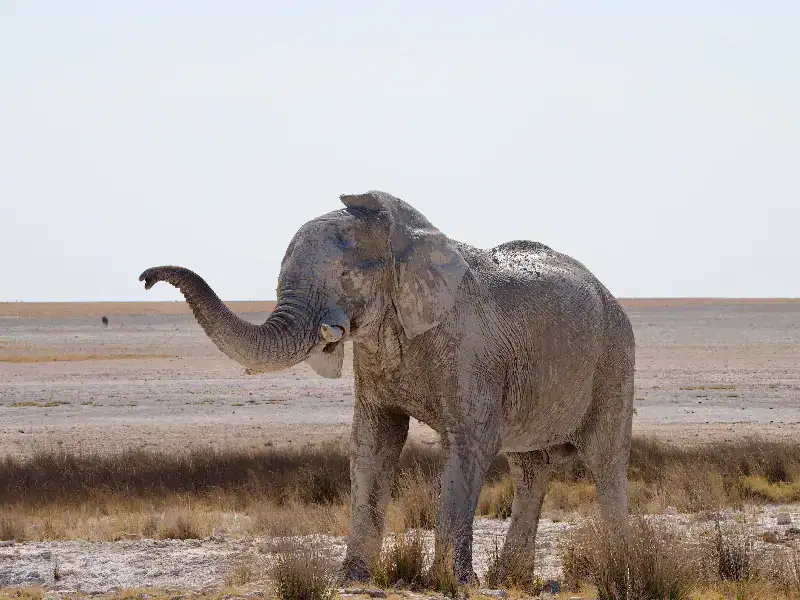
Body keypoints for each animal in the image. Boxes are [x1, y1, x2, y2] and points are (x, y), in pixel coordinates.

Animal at [139, 190, 635, 584]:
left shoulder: (471, 350)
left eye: (345, 277)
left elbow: (469, 444)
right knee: (530, 468)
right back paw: (509, 580)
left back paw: (618, 568)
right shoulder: (376, 359)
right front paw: (352, 579)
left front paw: (451, 584)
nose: (146, 277)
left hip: (614, 357)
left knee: (605, 460)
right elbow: (373, 441)